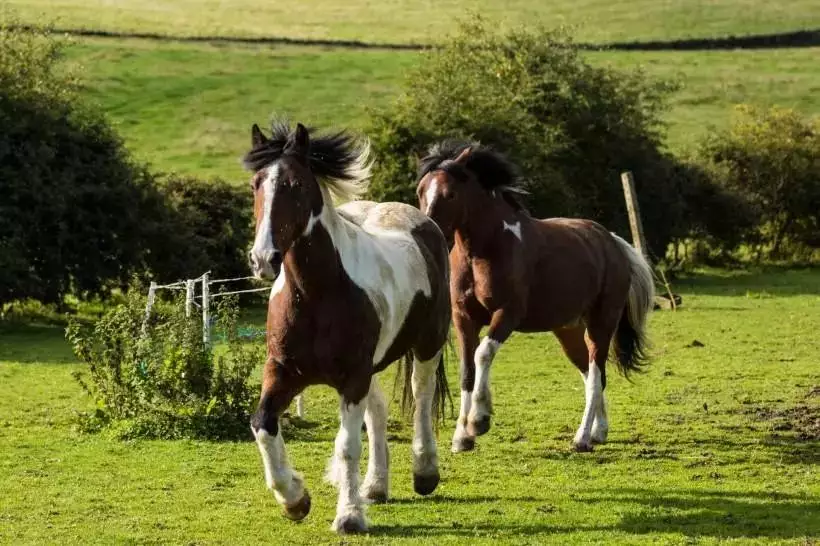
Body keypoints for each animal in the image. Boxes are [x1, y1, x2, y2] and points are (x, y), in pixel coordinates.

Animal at [243, 120, 452, 532]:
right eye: (256, 183)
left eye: (296, 184)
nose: (263, 259)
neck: (316, 294)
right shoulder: (282, 371)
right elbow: (263, 425)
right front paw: (295, 499)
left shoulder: (353, 377)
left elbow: (348, 444)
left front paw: (350, 515)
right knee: (379, 410)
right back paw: (375, 486)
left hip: (427, 344)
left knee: (421, 395)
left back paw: (424, 472)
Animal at [416, 139, 652, 450]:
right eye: (421, 190)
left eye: (450, 193)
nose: (428, 228)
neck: (485, 249)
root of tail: (613, 242)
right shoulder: (463, 318)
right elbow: (467, 370)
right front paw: (462, 437)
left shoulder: (507, 313)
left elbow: (483, 354)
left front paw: (479, 420)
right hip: (568, 331)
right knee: (595, 376)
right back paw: (599, 431)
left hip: (601, 325)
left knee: (595, 374)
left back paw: (582, 437)